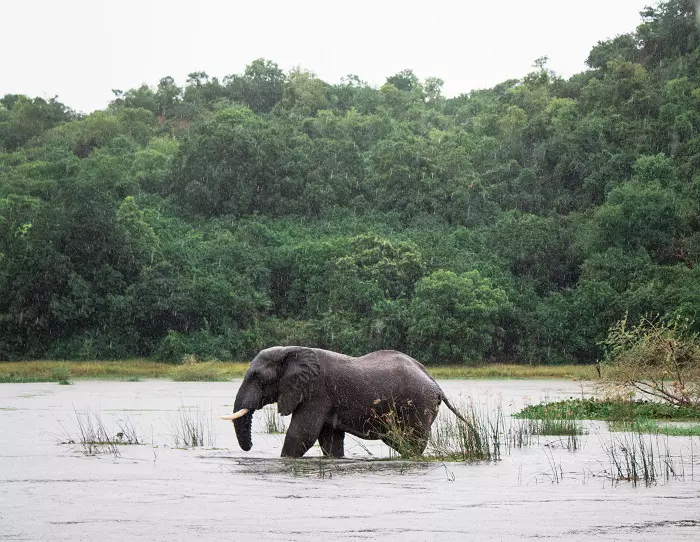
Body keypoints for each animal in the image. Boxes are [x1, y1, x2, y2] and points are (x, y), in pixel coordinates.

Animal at [221, 348, 468, 460]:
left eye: (256, 376)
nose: (249, 449)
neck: (291, 351)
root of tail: (435, 382)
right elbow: (329, 439)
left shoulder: (316, 392)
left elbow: (301, 434)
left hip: (418, 404)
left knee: (411, 441)